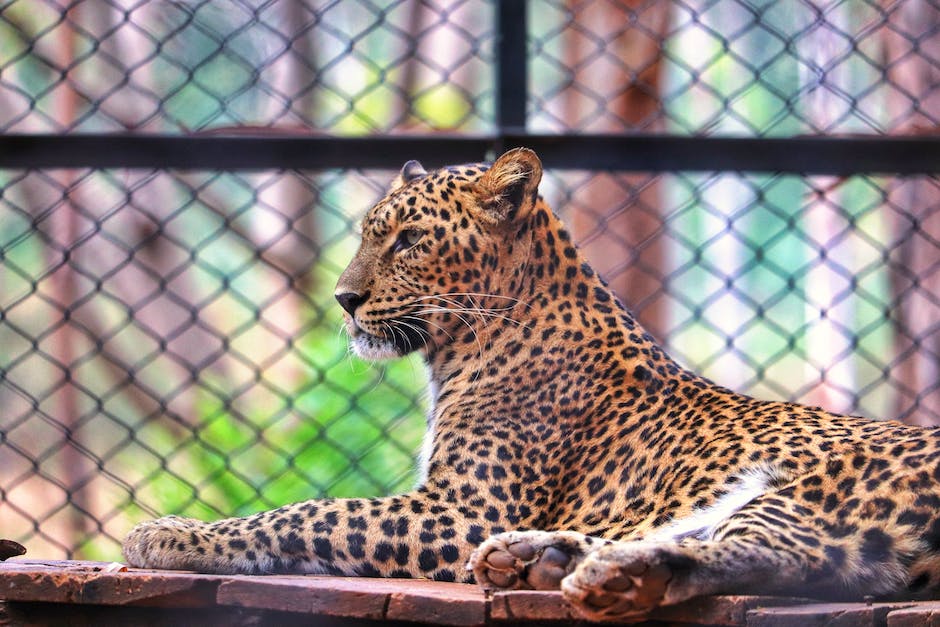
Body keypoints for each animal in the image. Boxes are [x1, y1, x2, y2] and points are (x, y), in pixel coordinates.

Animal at [123, 148, 940, 624]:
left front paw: (175, 534)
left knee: (780, 556)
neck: (462, 346)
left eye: (409, 240)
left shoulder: (461, 510)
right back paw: (538, 560)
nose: (344, 299)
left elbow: (314, 512)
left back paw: (614, 575)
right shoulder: (458, 510)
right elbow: (319, 511)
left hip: (813, 488)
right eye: (367, 234)